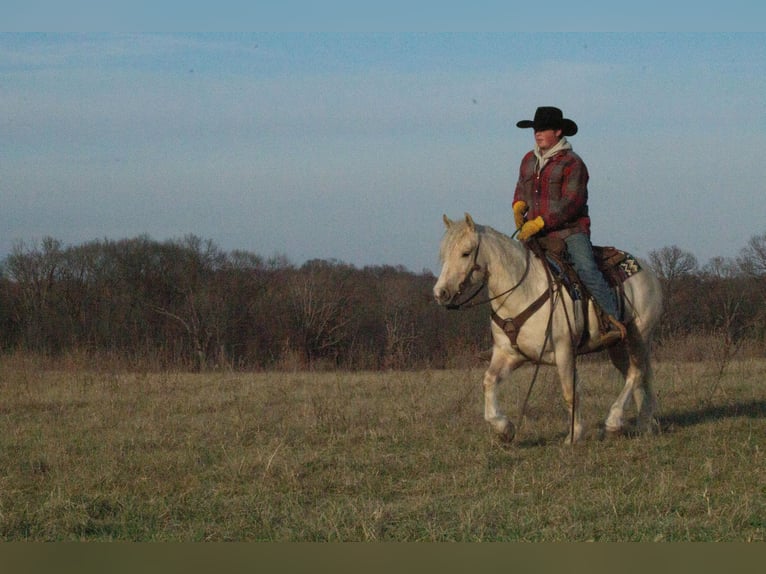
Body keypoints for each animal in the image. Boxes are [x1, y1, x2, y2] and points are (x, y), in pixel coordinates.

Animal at [436, 214, 664, 444]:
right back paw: (645, 424)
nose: (440, 293)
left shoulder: (564, 351)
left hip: (639, 336)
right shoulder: (509, 354)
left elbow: (570, 391)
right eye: (443, 254)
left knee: (636, 372)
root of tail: (648, 271)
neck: (522, 291)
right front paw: (504, 428)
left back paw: (614, 421)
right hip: (616, 345)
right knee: (636, 376)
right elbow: (489, 381)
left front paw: (574, 434)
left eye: (466, 253)